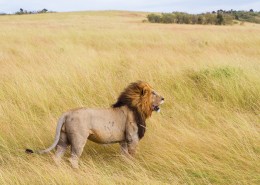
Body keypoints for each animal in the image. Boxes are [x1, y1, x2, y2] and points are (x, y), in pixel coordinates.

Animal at [26, 80, 165, 168]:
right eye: (153, 93)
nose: (163, 98)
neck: (138, 108)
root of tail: (67, 113)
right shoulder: (132, 138)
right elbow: (132, 156)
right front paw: (133, 166)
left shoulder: (124, 140)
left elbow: (124, 156)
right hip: (79, 139)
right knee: (73, 158)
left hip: (63, 139)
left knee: (57, 157)